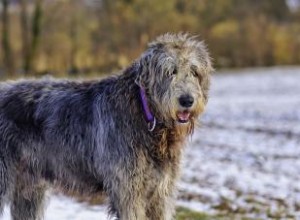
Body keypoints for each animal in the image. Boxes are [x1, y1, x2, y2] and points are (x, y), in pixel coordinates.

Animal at [0, 33, 211, 220]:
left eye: (194, 72)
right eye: (170, 71)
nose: (187, 100)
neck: (142, 111)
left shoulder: (161, 194)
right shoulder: (128, 191)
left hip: (28, 187)